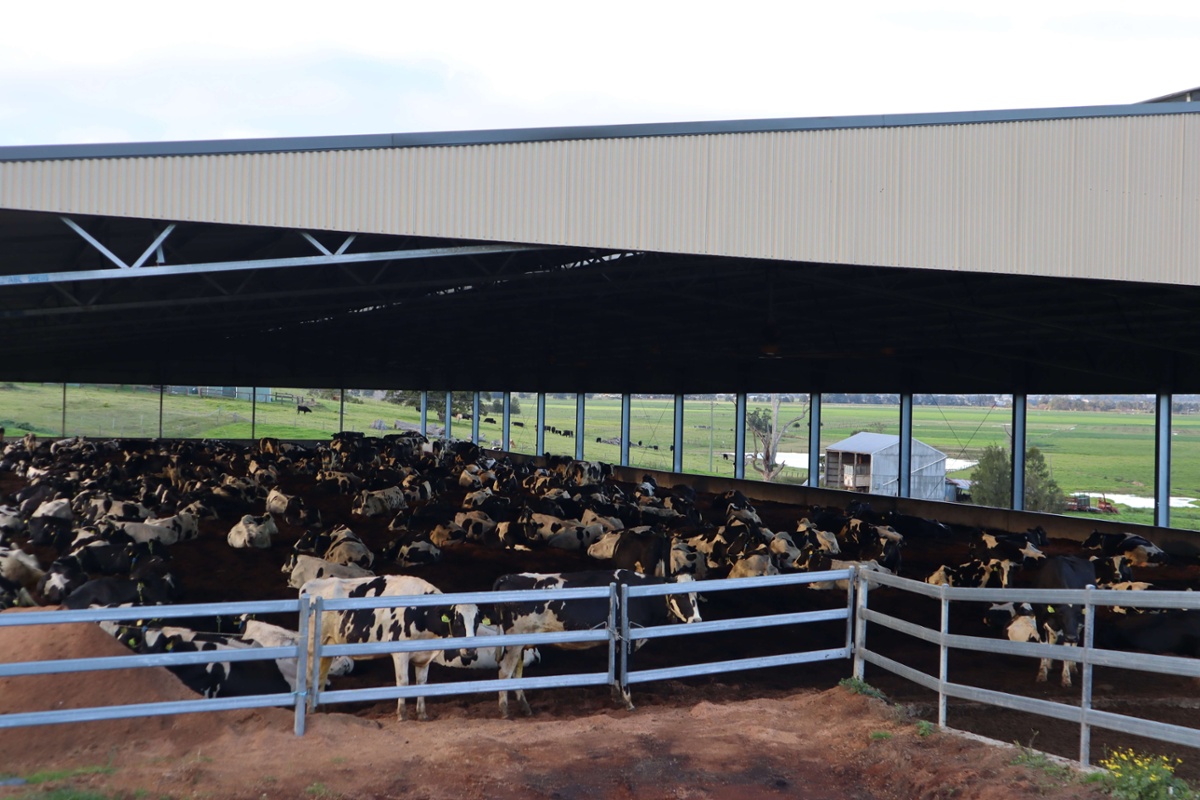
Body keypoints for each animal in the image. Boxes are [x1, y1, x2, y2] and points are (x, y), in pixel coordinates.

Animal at [300, 575, 482, 719]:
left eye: (476, 622)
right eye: (458, 621)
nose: (471, 650)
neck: (420, 612)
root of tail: (309, 584)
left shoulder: (423, 656)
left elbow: (422, 683)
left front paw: (422, 714)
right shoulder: (400, 653)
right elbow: (403, 682)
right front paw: (402, 715)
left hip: (327, 646)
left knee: (320, 678)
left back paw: (321, 712)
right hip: (311, 648)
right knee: (310, 678)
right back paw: (310, 712)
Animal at [487, 568, 700, 719]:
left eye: (696, 596)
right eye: (681, 595)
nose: (697, 620)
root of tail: (508, 577)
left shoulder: (617, 641)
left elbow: (616, 670)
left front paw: (616, 697)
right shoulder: (627, 639)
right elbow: (625, 671)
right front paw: (628, 702)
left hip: (521, 644)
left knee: (516, 674)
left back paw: (525, 708)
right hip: (513, 642)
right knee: (505, 672)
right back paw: (504, 711)